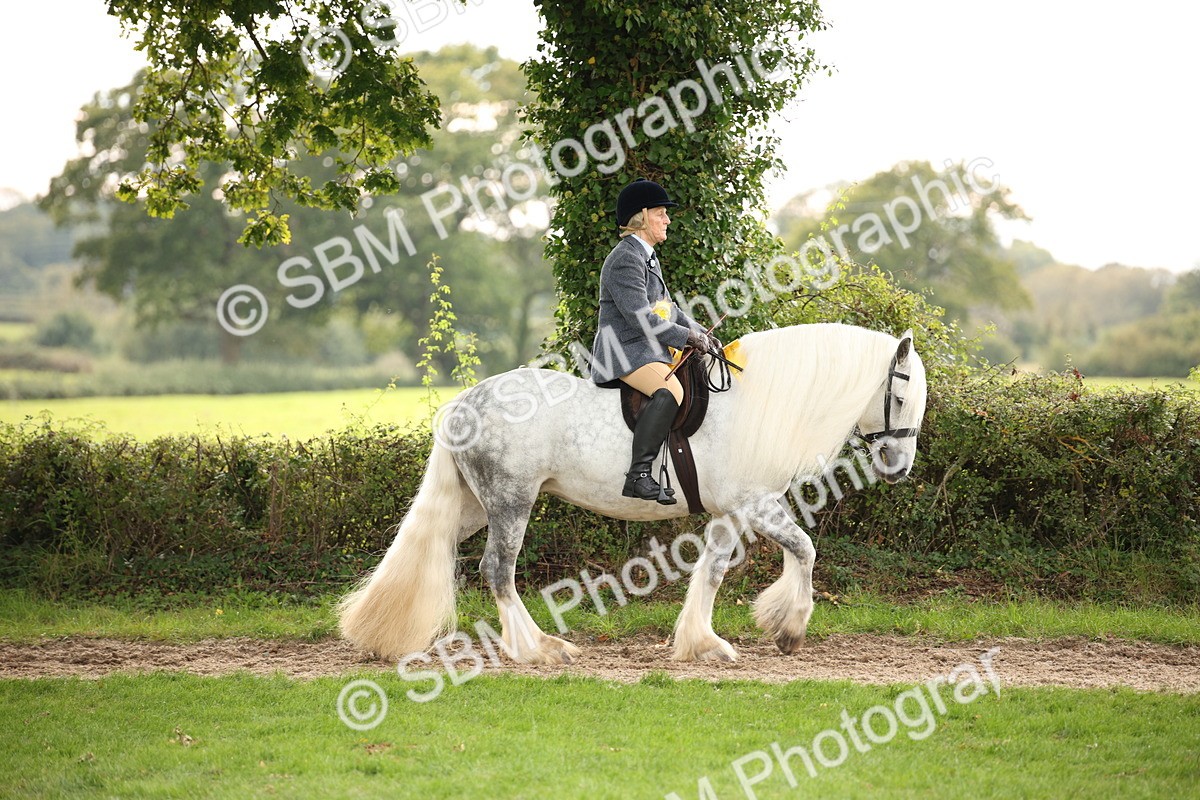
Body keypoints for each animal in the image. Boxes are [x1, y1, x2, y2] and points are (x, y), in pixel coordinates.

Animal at [338, 322, 928, 664]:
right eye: (900, 395)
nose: (898, 469)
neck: (757, 402)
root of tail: (463, 404)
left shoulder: (735, 512)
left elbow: (715, 570)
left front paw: (704, 642)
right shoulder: (753, 503)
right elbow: (805, 548)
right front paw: (789, 630)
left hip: (473, 506)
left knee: (441, 549)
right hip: (511, 502)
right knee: (498, 570)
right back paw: (539, 649)